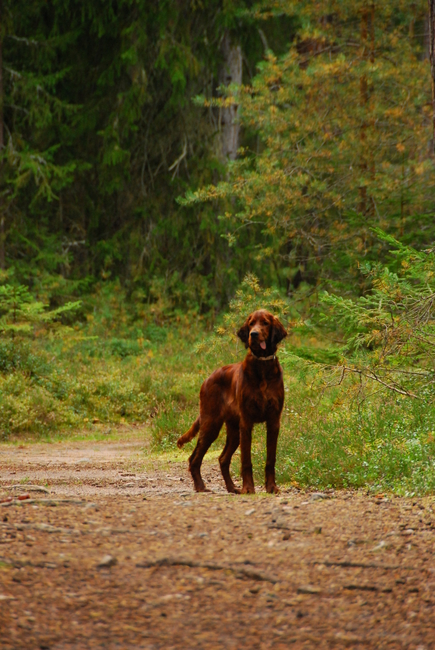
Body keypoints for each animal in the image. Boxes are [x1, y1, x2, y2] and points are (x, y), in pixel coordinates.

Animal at [179, 308, 288, 492]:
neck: (262, 367)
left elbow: (270, 459)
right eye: (251, 323)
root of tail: (207, 379)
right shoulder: (246, 421)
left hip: (233, 430)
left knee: (222, 458)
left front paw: (271, 487)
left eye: (265, 323)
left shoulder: (274, 421)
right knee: (194, 458)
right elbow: (246, 461)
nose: (253, 334)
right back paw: (201, 487)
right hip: (211, 423)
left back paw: (231, 488)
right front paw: (248, 489)